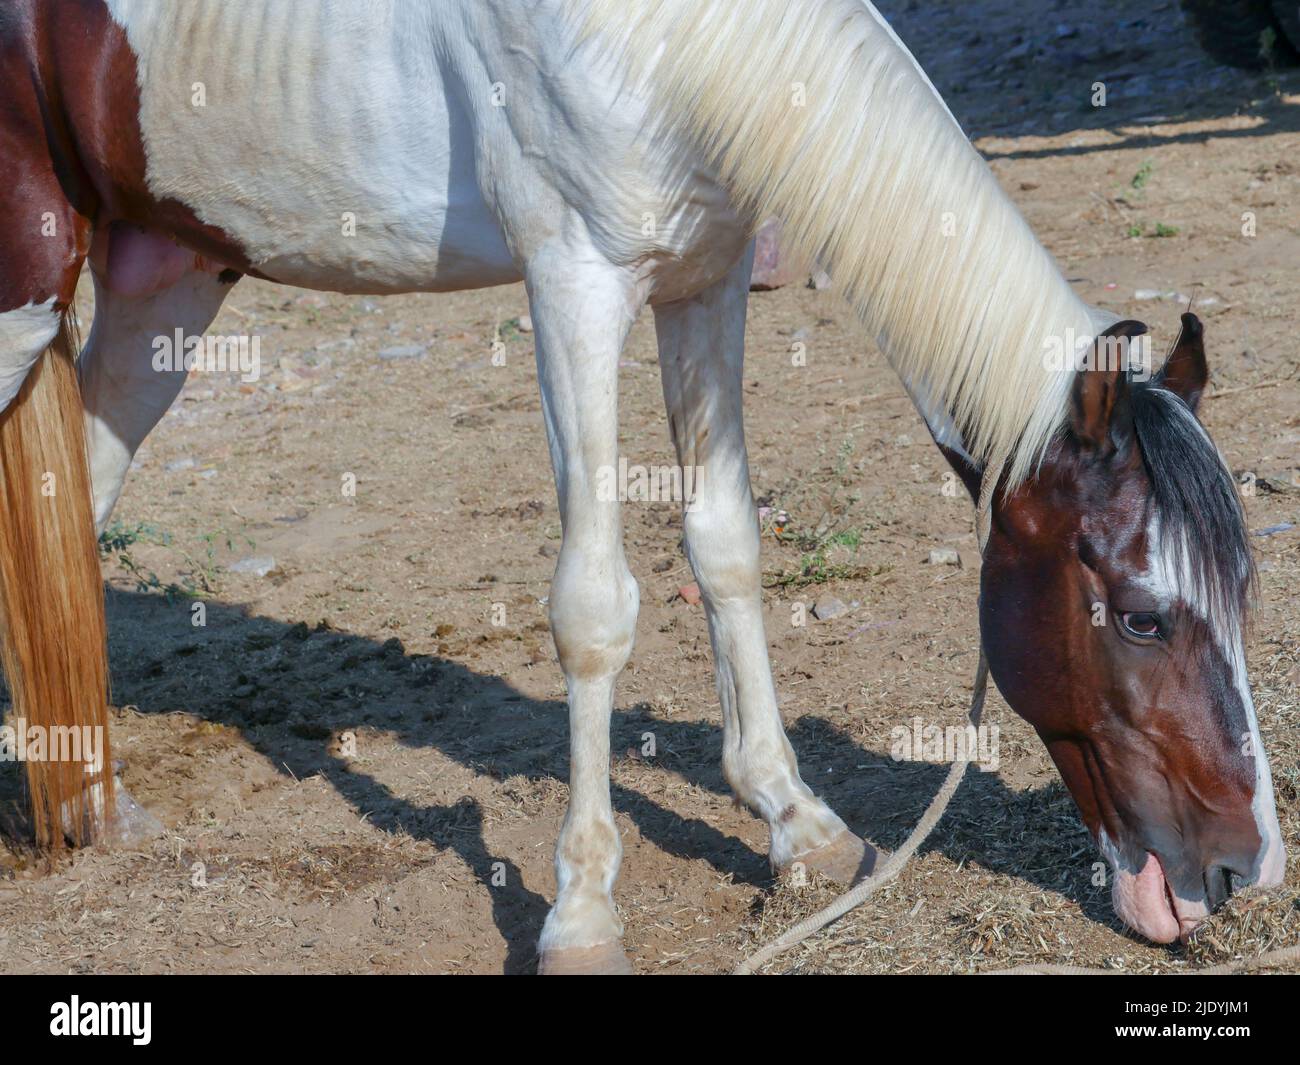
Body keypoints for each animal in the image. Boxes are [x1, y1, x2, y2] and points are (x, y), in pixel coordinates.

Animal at [0, 0, 1283, 973]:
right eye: (1139, 617)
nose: (1239, 869)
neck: (666, 41)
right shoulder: (574, 286)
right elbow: (593, 610)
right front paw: (580, 913)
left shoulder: (704, 282)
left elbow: (724, 547)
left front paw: (796, 825)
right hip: (30, 282)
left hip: (166, 277)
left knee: (81, 508)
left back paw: (95, 806)